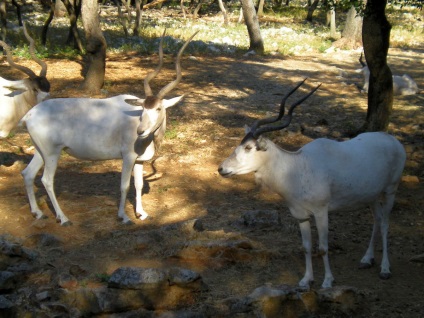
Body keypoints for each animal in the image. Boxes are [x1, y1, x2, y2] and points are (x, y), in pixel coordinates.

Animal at [20, 29, 196, 224]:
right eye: (143, 107)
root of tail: (29, 115)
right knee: (46, 180)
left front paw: (141, 213)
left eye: (158, 108)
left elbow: (139, 184)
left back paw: (38, 212)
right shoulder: (128, 157)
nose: (140, 131)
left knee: (28, 174)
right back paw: (63, 218)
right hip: (52, 153)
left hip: (40, 152)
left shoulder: (139, 160)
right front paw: (124, 216)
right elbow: (125, 186)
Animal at [219, 79, 408, 288]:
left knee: (385, 223)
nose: (221, 169)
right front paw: (306, 280)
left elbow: (323, 248)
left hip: (390, 190)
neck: (298, 167)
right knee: (377, 219)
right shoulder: (301, 216)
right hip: (372, 196)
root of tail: (393, 140)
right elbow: (306, 247)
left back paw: (385, 269)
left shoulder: (321, 212)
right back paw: (367, 259)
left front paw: (327, 281)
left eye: (248, 147)